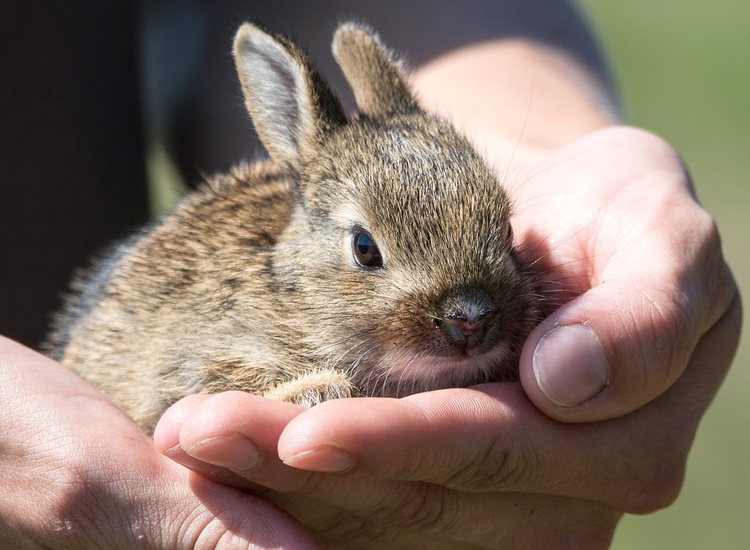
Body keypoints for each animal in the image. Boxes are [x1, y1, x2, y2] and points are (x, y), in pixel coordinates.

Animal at [45, 21, 541, 434]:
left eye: (507, 229)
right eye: (365, 248)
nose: (470, 319)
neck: (298, 298)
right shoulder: (187, 365)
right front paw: (318, 390)